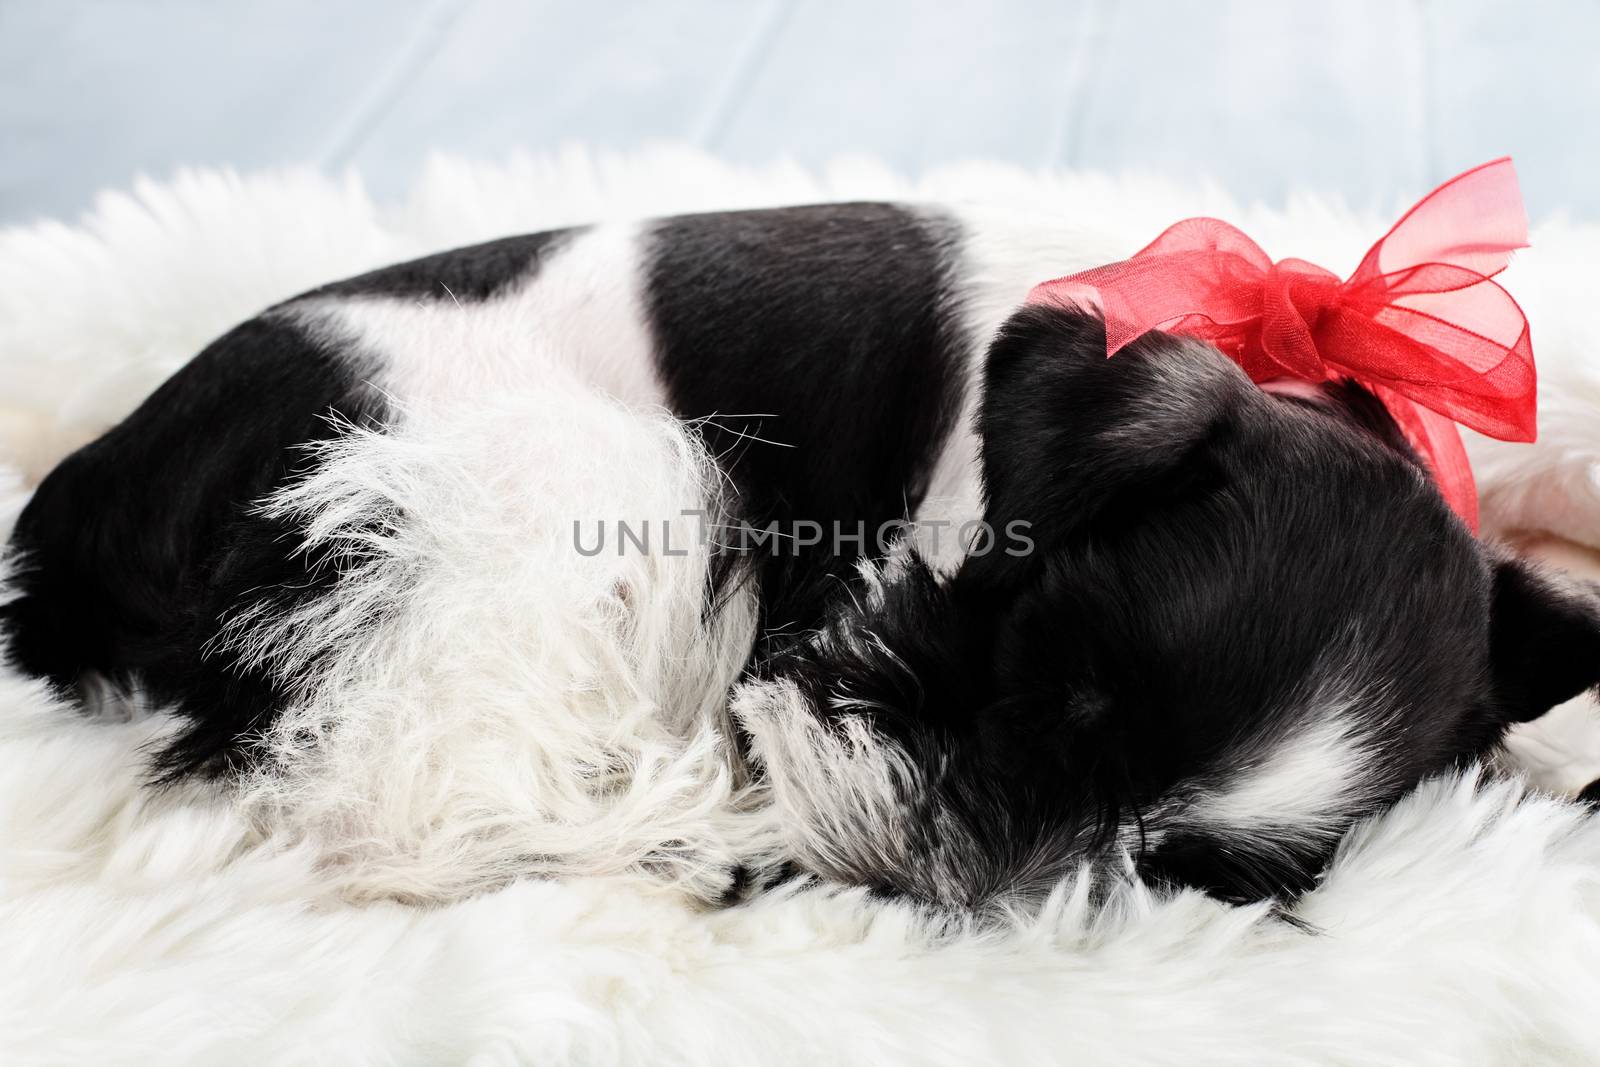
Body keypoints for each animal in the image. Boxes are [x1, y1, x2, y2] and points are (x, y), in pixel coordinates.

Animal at [3, 202, 1600, 908]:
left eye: (1167, 866)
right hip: (580, 486)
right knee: (397, 796)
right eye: (1049, 675)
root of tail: (73, 514)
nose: (932, 856)